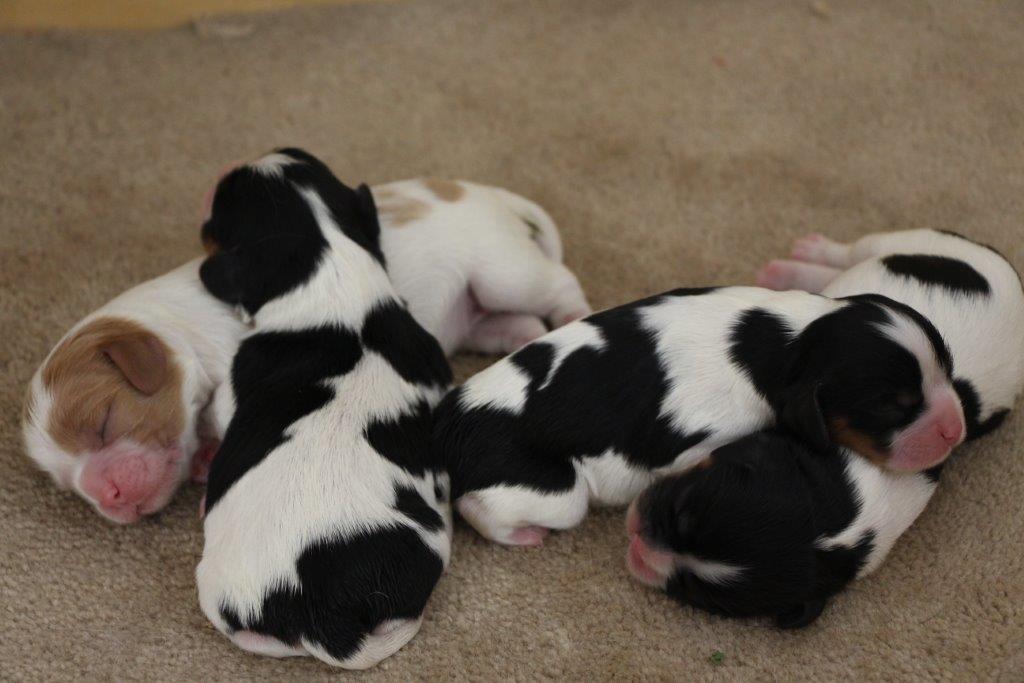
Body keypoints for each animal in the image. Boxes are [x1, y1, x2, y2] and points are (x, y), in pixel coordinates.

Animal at [23, 161, 589, 524]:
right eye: (66, 484)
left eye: (103, 424)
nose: (107, 498)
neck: (181, 331)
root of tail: (482, 193)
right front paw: (203, 459)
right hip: (472, 313)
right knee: (506, 322)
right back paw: (524, 333)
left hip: (502, 269)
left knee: (557, 283)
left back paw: (575, 314)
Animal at [433, 285, 964, 546]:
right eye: (893, 404)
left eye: (948, 367)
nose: (956, 431)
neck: (789, 339)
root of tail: (450, 423)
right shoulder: (699, 441)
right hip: (558, 494)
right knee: (482, 509)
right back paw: (526, 535)